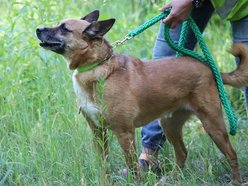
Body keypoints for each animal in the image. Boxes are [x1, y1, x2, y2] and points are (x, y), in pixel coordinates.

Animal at [36, 9, 248, 182]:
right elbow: (103, 166)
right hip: (169, 124)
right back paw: (173, 179)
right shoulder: (98, 133)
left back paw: (236, 180)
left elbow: (132, 168)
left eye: (64, 28)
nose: (38, 29)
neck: (96, 67)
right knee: (182, 152)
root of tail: (209, 68)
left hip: (212, 124)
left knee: (231, 154)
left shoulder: (125, 133)